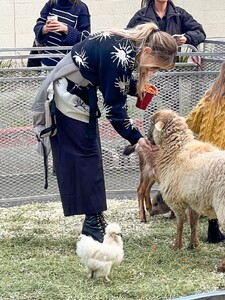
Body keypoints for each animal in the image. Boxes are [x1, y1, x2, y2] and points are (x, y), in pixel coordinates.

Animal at [147, 109, 225, 272]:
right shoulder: (193, 199)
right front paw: (193, 245)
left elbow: (180, 224)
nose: (147, 138)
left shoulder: (176, 201)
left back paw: (222, 266)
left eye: (152, 123)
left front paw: (177, 246)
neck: (176, 149)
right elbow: (193, 223)